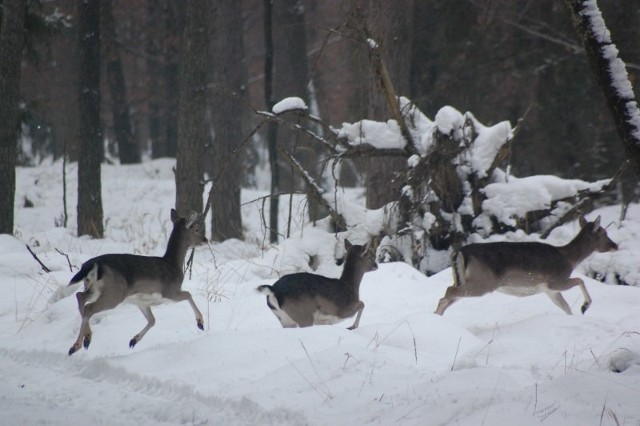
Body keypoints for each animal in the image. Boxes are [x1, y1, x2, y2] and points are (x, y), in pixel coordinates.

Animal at [432, 216, 616, 316]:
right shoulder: (556, 281)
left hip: (464, 280)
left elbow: (566, 308)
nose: (615, 245)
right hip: (483, 282)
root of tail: (460, 252)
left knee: (449, 296)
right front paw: (585, 306)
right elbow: (580, 280)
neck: (569, 258)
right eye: (604, 233)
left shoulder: (550, 290)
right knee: (447, 293)